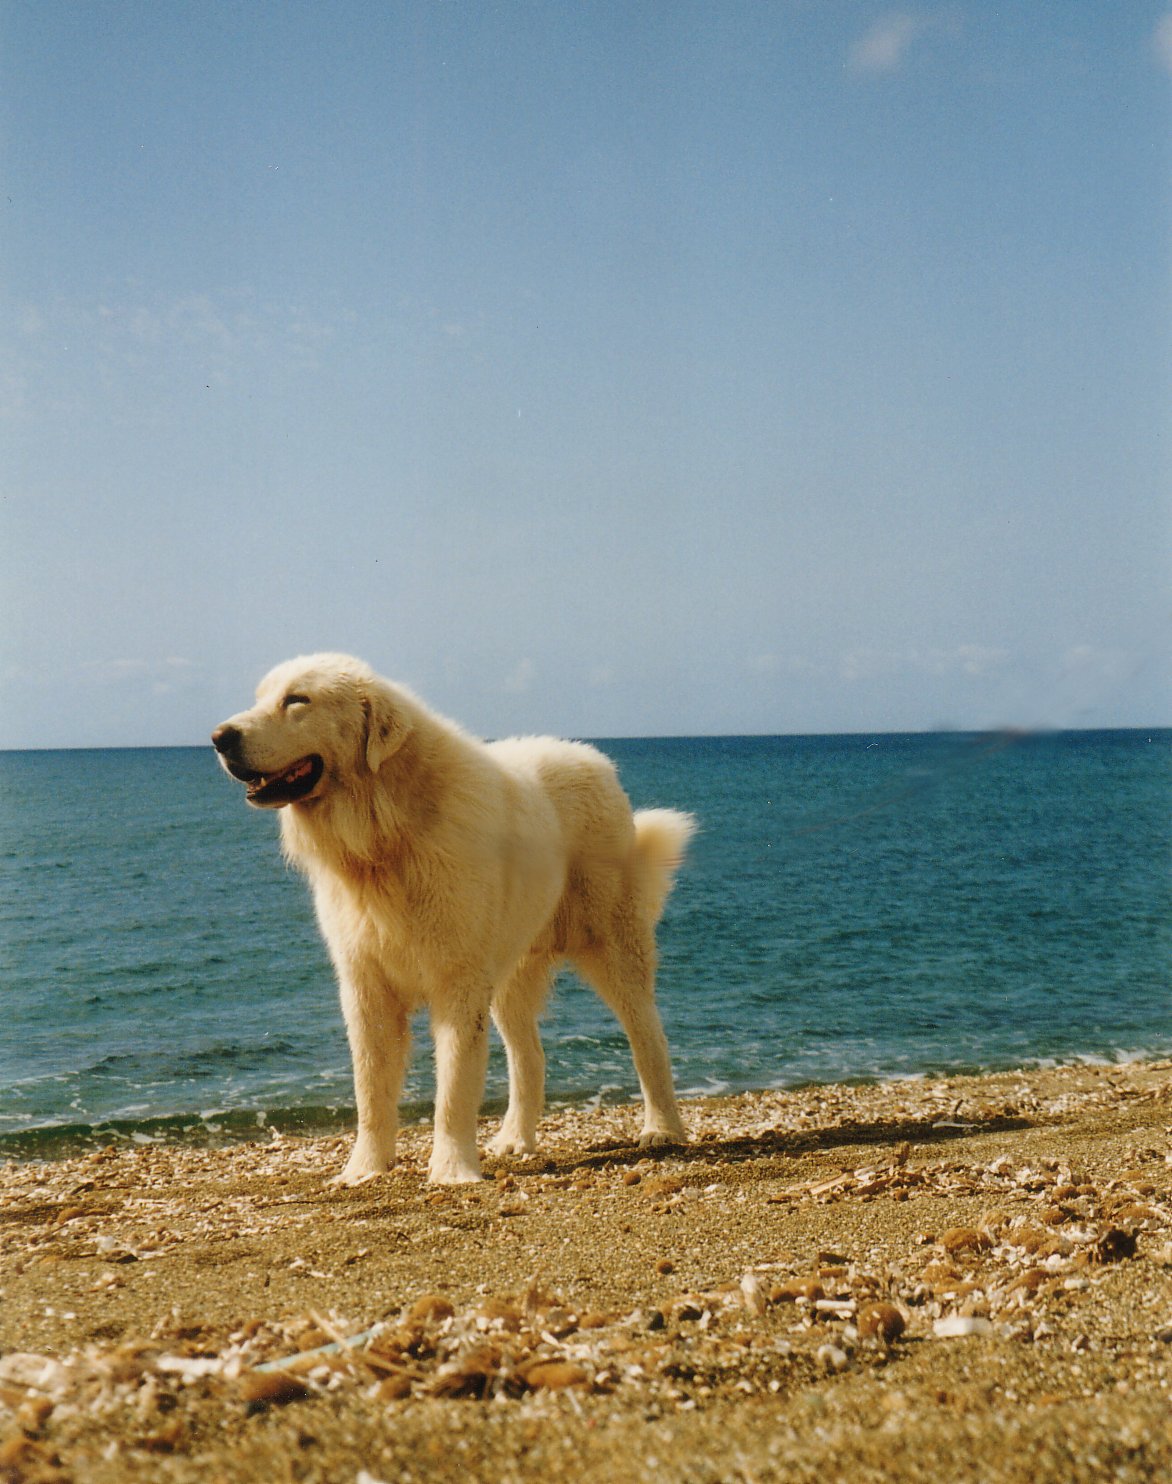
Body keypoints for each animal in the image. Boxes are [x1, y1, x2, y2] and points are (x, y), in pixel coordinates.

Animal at [213, 655, 697, 1187]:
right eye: (261, 698)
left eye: (297, 700)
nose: (220, 737)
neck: (386, 832)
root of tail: (594, 759)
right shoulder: (366, 986)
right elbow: (370, 1090)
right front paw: (363, 1170)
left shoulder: (458, 982)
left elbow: (454, 1085)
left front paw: (451, 1170)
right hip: (510, 974)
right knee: (529, 1058)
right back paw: (514, 1139)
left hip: (612, 947)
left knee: (647, 1037)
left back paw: (661, 1129)